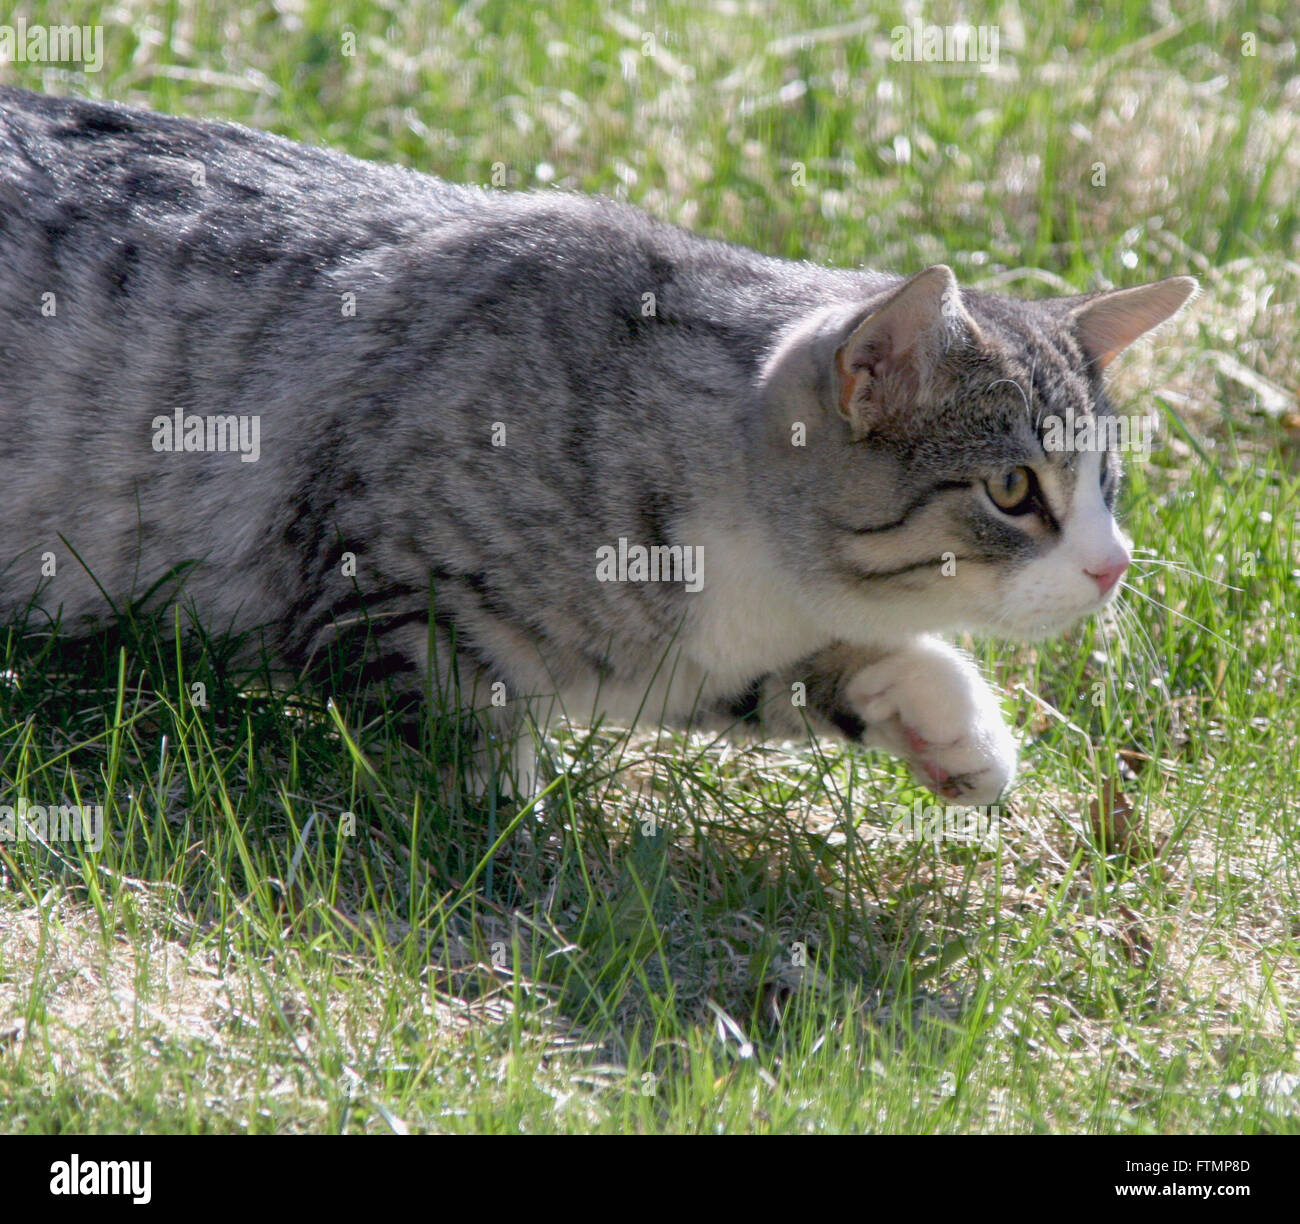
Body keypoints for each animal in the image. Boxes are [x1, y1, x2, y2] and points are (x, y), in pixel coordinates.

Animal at [0, 90, 1196, 810]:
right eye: (1013, 489)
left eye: (1108, 487)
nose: (1114, 566)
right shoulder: (380, 578)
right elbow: (456, 722)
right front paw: (504, 826)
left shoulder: (693, 660)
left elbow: (841, 668)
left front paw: (954, 730)